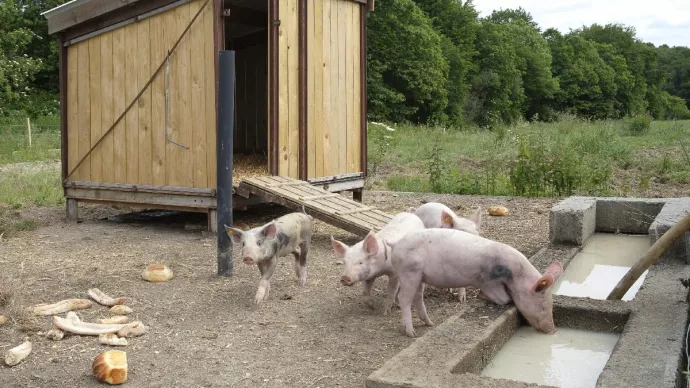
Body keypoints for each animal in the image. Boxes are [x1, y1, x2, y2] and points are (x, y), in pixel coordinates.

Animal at [384, 229, 560, 338]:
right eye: (542, 306)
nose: (553, 330)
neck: (514, 276)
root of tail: (395, 244)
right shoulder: (488, 282)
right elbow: (504, 299)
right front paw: (482, 296)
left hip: (419, 275)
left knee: (418, 297)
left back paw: (430, 323)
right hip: (409, 272)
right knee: (404, 298)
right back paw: (411, 333)